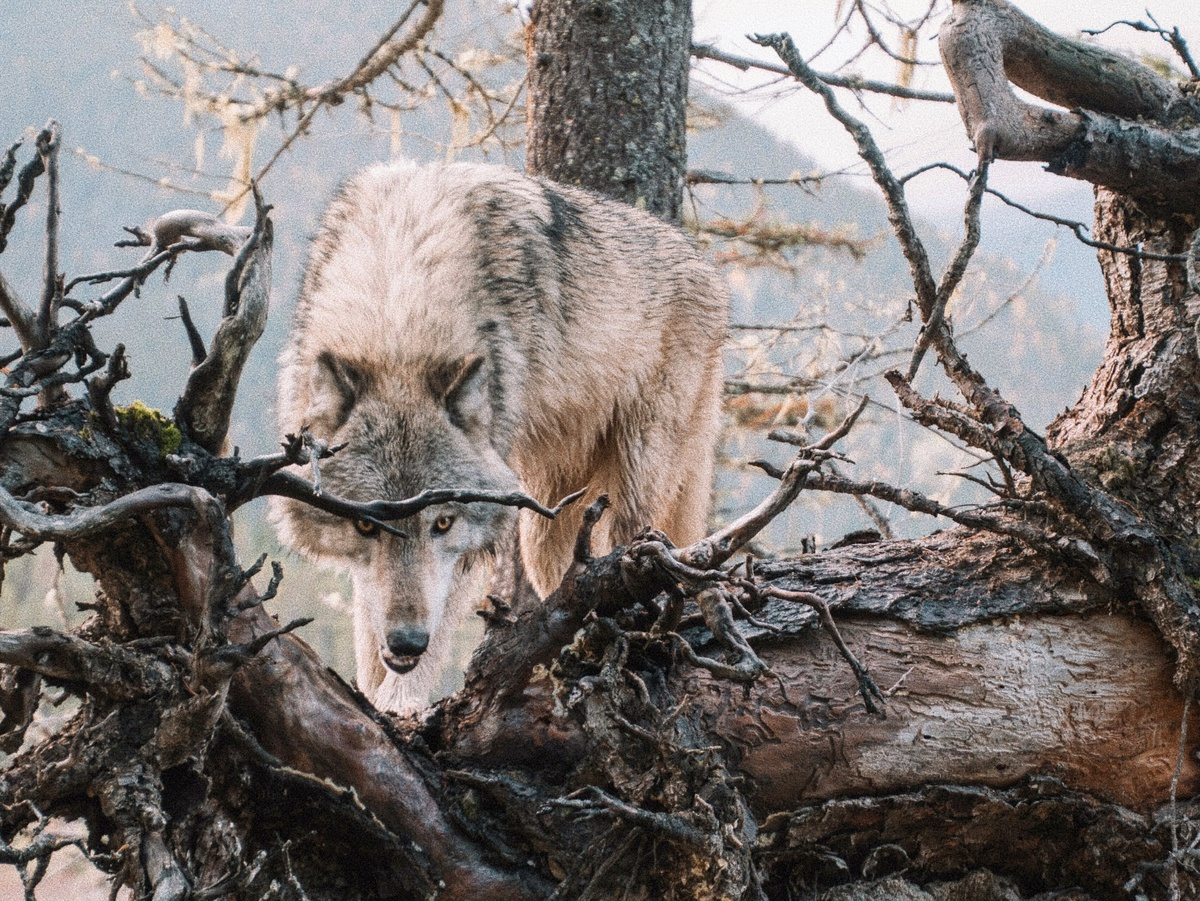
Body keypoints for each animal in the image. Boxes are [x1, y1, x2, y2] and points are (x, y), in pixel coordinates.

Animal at [273, 161, 728, 712]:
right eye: (366, 525)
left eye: (443, 523)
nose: (407, 642)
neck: (397, 315)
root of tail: (705, 266)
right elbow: (367, 627)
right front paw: (371, 696)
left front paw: (401, 706)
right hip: (546, 528)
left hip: (631, 490)